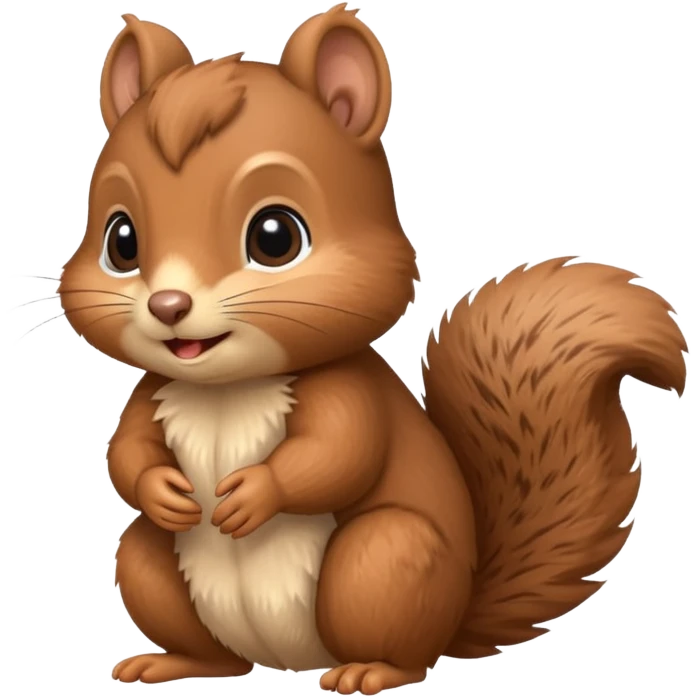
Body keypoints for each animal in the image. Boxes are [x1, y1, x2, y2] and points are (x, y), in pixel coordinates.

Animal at [61, 4, 688, 694]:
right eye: (121, 240)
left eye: (275, 237)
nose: (168, 307)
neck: (228, 387)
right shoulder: (153, 394)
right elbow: (126, 453)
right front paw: (161, 489)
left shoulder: (349, 390)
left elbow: (340, 452)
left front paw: (254, 493)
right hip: (151, 566)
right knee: (201, 633)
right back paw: (172, 661)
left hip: (386, 559)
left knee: (402, 639)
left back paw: (370, 671)